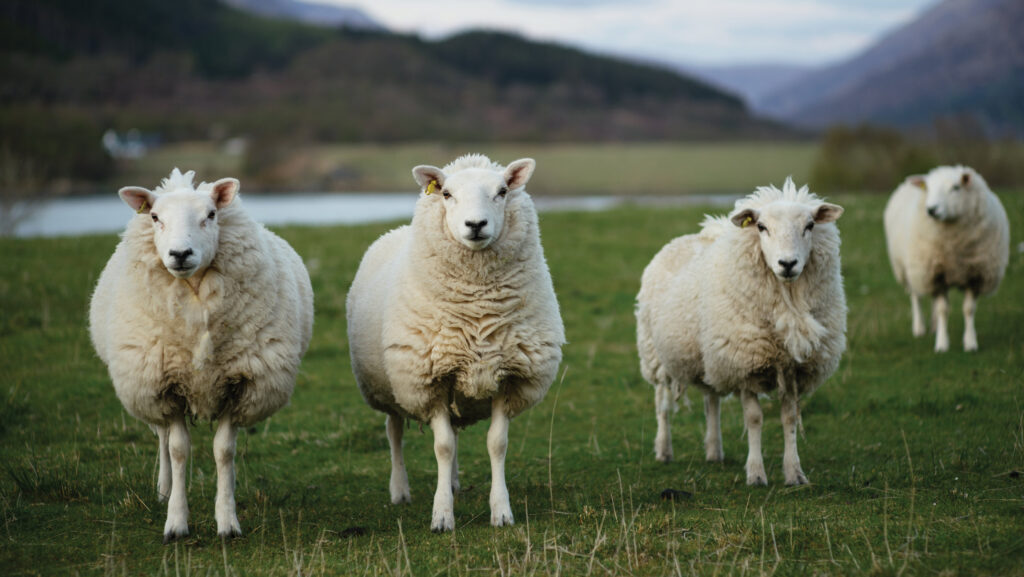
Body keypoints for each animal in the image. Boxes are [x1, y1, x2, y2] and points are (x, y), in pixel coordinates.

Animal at [89, 168, 314, 542]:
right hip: (149, 387)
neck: (195, 300)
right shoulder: (167, 387)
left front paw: (227, 520)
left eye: (210, 214)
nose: (180, 253)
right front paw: (176, 521)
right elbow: (178, 450)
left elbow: (224, 452)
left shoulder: (240, 385)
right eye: (155, 217)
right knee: (163, 438)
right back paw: (164, 489)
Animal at [346, 153, 565, 532]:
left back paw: (453, 483)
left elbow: (496, 444)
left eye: (502, 191)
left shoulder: (507, 375)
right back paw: (400, 490)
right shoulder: (429, 379)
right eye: (447, 194)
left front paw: (501, 511)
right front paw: (442, 516)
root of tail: (394, 231)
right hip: (391, 386)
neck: (477, 308)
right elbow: (443, 447)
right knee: (394, 432)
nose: (475, 224)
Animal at [636, 177, 846, 486]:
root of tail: (688, 238)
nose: (787, 264)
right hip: (657, 355)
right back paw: (664, 450)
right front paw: (756, 474)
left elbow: (789, 420)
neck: (788, 304)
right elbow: (755, 419)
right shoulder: (745, 363)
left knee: (711, 401)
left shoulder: (792, 369)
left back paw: (714, 450)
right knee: (662, 404)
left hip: (710, 356)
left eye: (809, 226)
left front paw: (794, 473)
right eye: (761, 227)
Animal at [883, 165, 1010, 352]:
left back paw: (934, 326)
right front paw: (942, 344)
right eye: (928, 188)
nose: (931, 209)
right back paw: (919, 328)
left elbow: (968, 309)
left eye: (955, 188)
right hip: (912, 269)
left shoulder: (975, 274)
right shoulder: (935, 275)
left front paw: (970, 342)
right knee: (916, 296)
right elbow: (943, 309)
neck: (954, 245)